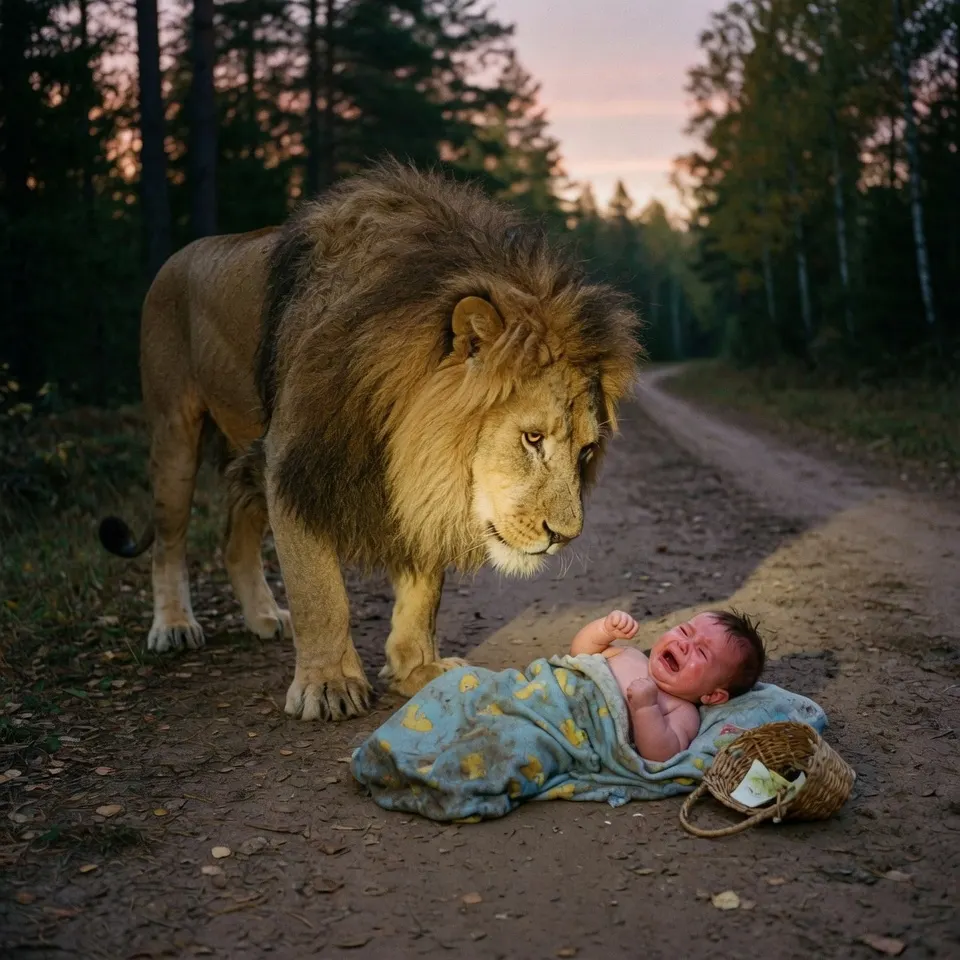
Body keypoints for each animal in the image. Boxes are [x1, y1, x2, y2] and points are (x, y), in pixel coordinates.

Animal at [99, 162, 641, 721]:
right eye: (532, 438)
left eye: (586, 452)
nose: (564, 536)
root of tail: (179, 256)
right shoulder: (295, 462)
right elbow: (319, 591)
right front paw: (329, 684)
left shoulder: (416, 478)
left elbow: (424, 586)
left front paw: (417, 669)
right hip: (175, 432)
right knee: (169, 540)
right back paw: (174, 625)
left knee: (233, 540)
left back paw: (265, 615)